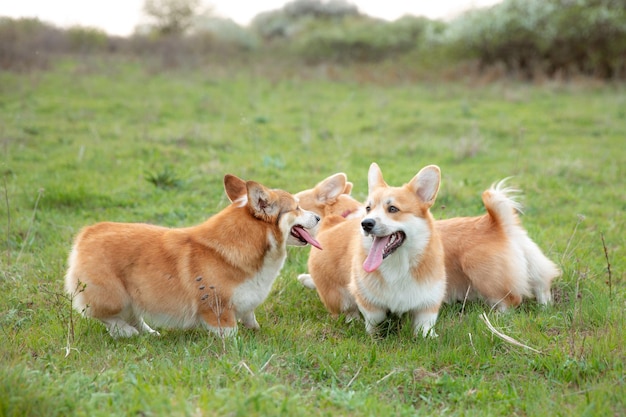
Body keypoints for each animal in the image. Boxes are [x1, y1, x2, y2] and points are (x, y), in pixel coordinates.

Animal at [64, 173, 322, 338]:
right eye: (297, 207)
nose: (319, 217)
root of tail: (88, 232)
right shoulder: (218, 308)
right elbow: (230, 332)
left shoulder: (248, 301)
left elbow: (251, 318)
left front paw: (256, 331)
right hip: (114, 295)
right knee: (100, 314)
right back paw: (125, 332)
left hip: (135, 296)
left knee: (134, 316)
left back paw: (149, 333)